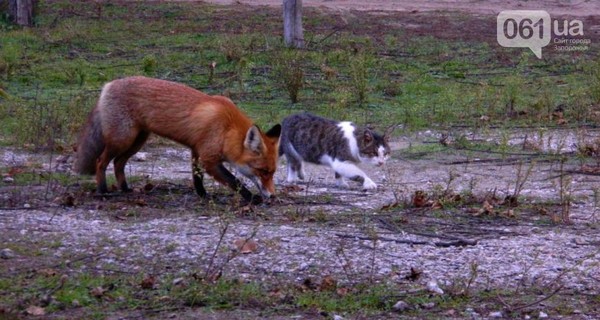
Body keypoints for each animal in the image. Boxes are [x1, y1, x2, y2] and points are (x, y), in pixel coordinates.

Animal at [74, 76, 282, 204]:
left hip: (137, 141)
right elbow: (235, 181)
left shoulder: (196, 150)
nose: (272, 196)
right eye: (263, 171)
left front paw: (203, 195)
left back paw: (125, 189)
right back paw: (103, 191)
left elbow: (197, 178)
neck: (227, 128)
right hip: (122, 140)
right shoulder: (209, 158)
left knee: (118, 163)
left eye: (273, 172)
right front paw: (252, 198)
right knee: (101, 161)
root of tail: (108, 85)